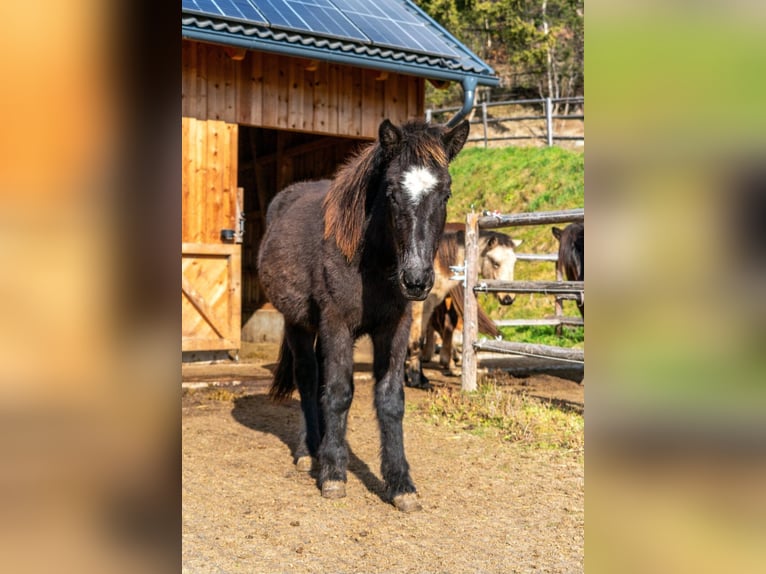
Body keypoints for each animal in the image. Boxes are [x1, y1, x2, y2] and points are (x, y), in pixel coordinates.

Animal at [258, 118, 470, 512]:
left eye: (445, 193)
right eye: (391, 191)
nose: (416, 280)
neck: (368, 258)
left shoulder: (395, 328)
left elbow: (390, 399)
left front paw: (400, 483)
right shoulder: (336, 324)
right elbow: (340, 392)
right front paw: (334, 474)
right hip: (297, 323)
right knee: (308, 377)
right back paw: (309, 451)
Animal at [405, 225, 522, 388]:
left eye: (514, 263)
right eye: (495, 263)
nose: (508, 298)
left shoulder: (428, 308)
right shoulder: (419, 308)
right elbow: (416, 342)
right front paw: (416, 379)